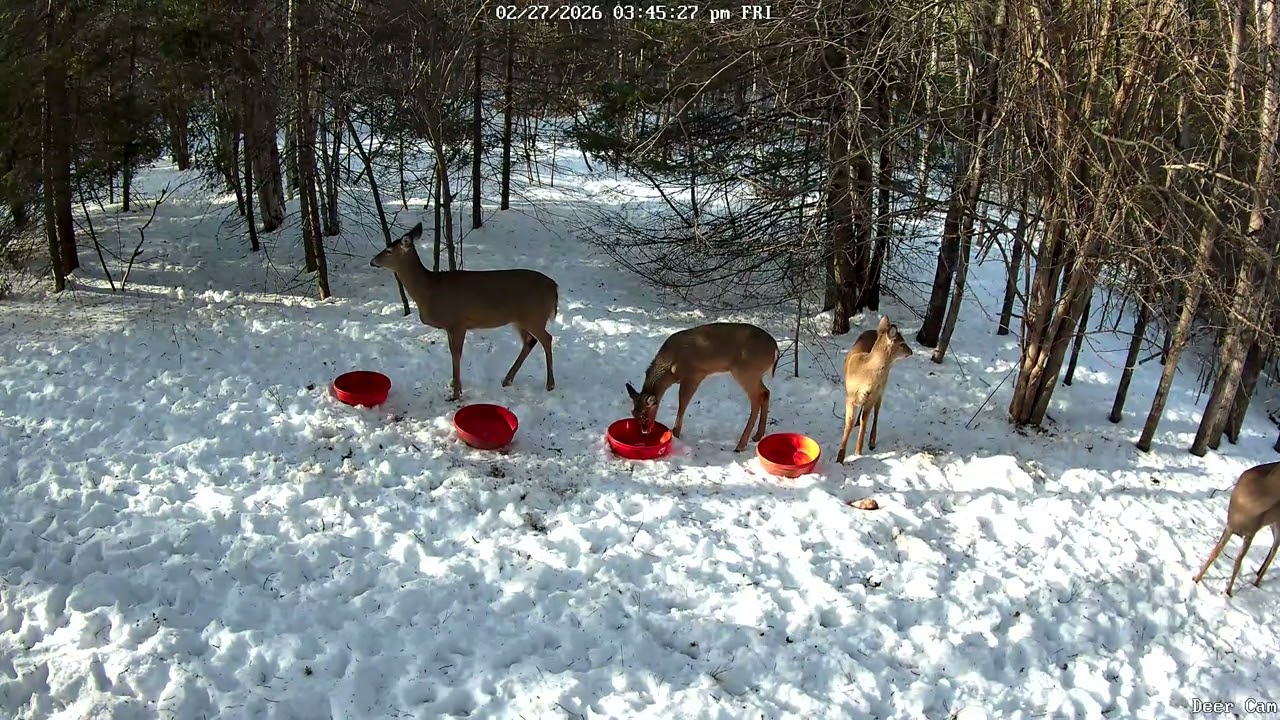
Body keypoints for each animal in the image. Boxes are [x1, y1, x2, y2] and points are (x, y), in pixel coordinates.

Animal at [369, 222, 558, 402]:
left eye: (388, 250)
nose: (372, 261)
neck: (429, 290)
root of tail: (554, 288)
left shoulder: (458, 322)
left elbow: (456, 354)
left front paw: (456, 393)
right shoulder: (449, 326)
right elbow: (453, 352)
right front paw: (455, 386)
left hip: (534, 316)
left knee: (547, 339)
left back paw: (550, 384)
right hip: (519, 320)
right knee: (530, 341)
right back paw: (507, 380)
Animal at [625, 322, 779, 453]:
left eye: (645, 415)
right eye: (633, 413)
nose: (644, 431)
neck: (670, 368)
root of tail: (775, 350)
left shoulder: (695, 375)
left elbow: (683, 403)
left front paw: (675, 434)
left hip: (746, 372)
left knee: (756, 399)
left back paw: (740, 445)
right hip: (754, 375)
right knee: (766, 392)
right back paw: (757, 436)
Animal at [835, 316, 913, 463]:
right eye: (902, 343)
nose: (911, 351)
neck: (864, 375)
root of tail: (875, 330)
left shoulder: (872, 396)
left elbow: (865, 421)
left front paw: (858, 452)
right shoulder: (850, 396)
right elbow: (849, 423)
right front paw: (840, 457)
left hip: (881, 389)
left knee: (876, 414)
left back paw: (871, 441)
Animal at [1192, 461, 1280, 597]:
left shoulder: (1251, 533)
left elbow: (1238, 562)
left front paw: (1228, 592)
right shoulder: (1229, 526)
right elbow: (1215, 552)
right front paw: (1196, 578)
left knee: (1274, 550)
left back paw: (1256, 583)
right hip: (1273, 524)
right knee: (1273, 549)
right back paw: (1257, 575)